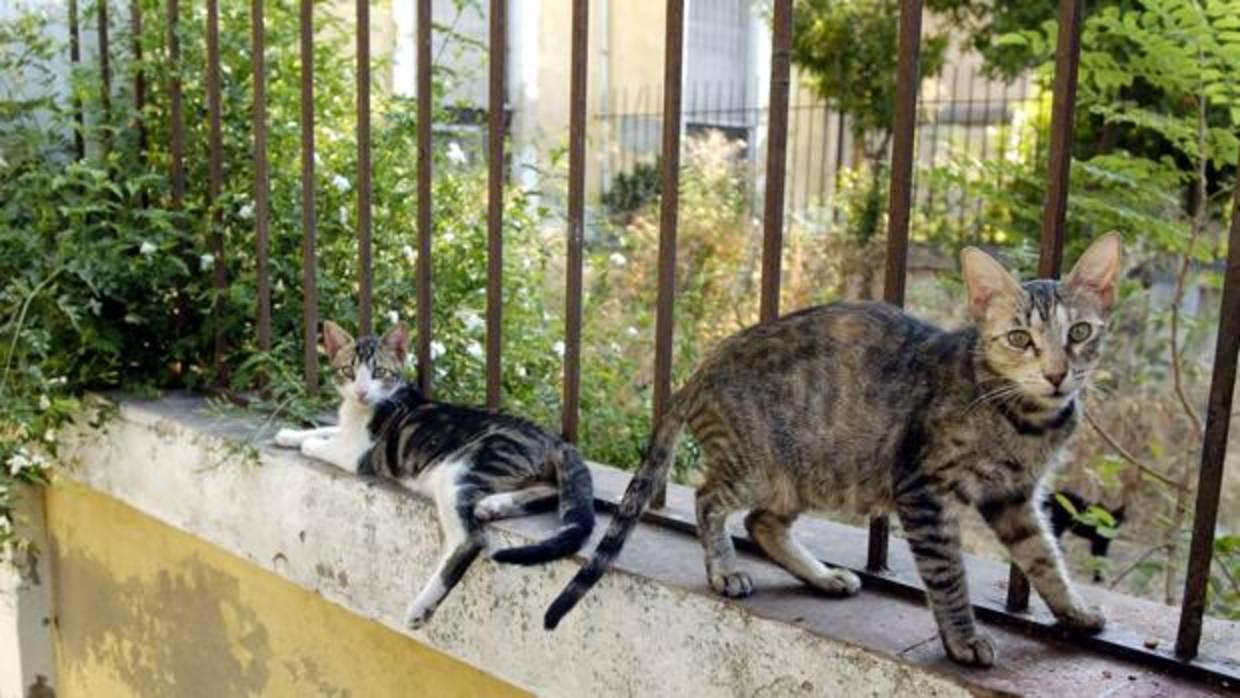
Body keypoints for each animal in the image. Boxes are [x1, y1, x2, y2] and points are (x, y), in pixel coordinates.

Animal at [276, 319, 595, 627]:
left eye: (379, 372)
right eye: (348, 371)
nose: (362, 392)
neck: (363, 410)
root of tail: (554, 438)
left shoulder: (358, 455)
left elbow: (323, 444)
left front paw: (305, 443)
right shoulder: (348, 432)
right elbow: (327, 428)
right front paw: (289, 434)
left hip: (461, 470)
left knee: (470, 541)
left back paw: (421, 607)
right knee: (551, 490)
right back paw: (494, 504)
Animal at [548, 233, 1120, 664]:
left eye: (1080, 332)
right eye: (1020, 338)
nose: (1056, 374)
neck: (1026, 421)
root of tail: (704, 365)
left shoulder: (1015, 498)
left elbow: (1044, 558)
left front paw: (1074, 612)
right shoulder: (924, 493)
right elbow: (948, 575)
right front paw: (962, 638)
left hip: (809, 476)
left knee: (762, 522)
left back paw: (821, 577)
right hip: (759, 466)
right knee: (708, 498)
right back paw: (725, 569)